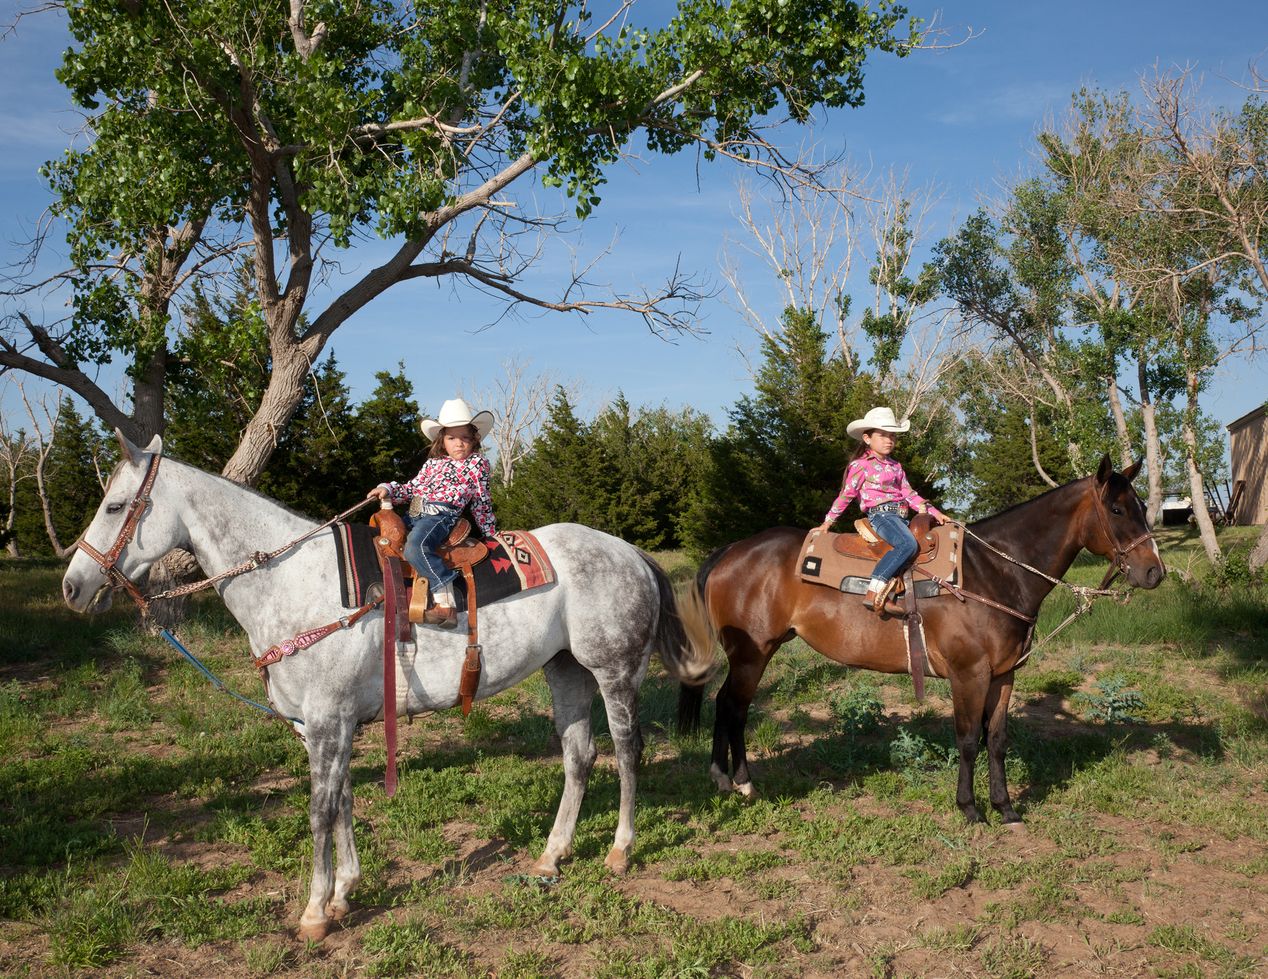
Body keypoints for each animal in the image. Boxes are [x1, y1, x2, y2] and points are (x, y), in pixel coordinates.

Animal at [61, 436, 715, 938]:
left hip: (614, 672)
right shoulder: (323, 727)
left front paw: (314, 913)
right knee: (580, 755)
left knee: (627, 751)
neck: (296, 583)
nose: (73, 586)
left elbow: (320, 811)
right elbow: (345, 801)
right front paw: (344, 892)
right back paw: (553, 854)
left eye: (116, 505)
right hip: (565, 670)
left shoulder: (328, 721)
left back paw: (621, 850)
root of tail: (631, 552)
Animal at [679, 453, 1161, 821]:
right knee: (735, 707)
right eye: (1117, 510)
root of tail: (731, 550)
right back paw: (742, 783)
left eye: (1142, 506)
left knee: (724, 702)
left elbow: (997, 740)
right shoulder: (969, 674)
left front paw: (1005, 808)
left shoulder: (1004, 675)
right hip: (752, 654)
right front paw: (970, 808)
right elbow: (967, 739)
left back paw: (723, 779)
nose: (1154, 572)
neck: (993, 573)